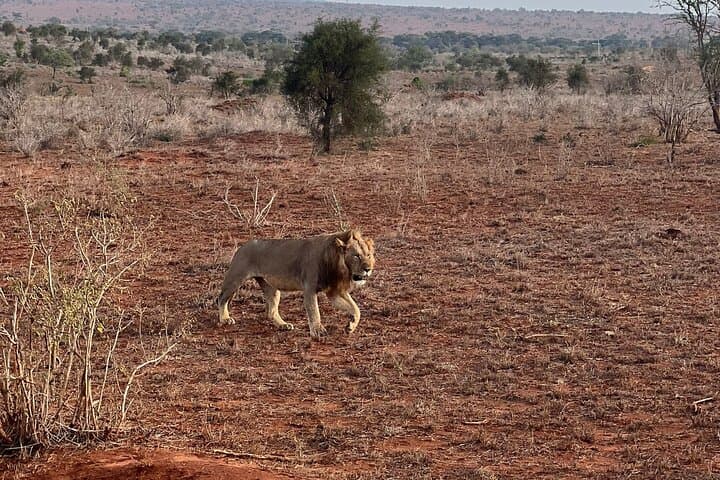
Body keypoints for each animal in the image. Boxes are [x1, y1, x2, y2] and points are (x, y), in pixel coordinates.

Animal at [218, 230, 375, 338]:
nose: (368, 269)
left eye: (368, 255)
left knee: (271, 311)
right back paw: (225, 319)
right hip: (236, 279)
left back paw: (283, 325)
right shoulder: (310, 288)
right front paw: (318, 331)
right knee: (221, 299)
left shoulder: (334, 291)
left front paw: (351, 325)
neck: (338, 265)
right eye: (356, 256)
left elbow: (355, 308)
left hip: (271, 287)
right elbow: (314, 311)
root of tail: (243, 245)